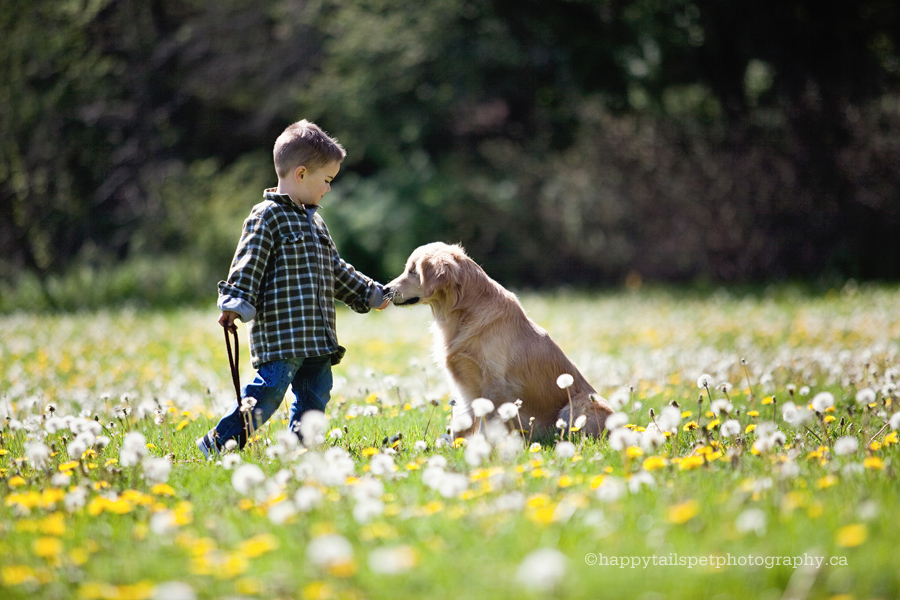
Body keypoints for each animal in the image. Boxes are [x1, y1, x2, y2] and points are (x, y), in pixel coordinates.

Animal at [384, 241, 616, 438]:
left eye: (413, 271)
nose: (386, 289)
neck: (462, 312)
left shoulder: (494, 383)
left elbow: (486, 423)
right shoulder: (463, 384)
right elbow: (461, 421)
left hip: (580, 403)